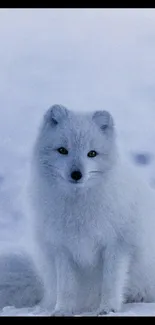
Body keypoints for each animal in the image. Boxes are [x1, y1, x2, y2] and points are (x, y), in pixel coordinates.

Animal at [23, 105, 155, 316]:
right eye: (62, 150)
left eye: (92, 153)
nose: (77, 174)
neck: (79, 208)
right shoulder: (63, 248)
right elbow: (66, 287)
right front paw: (63, 310)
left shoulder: (118, 244)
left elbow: (111, 281)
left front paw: (108, 308)